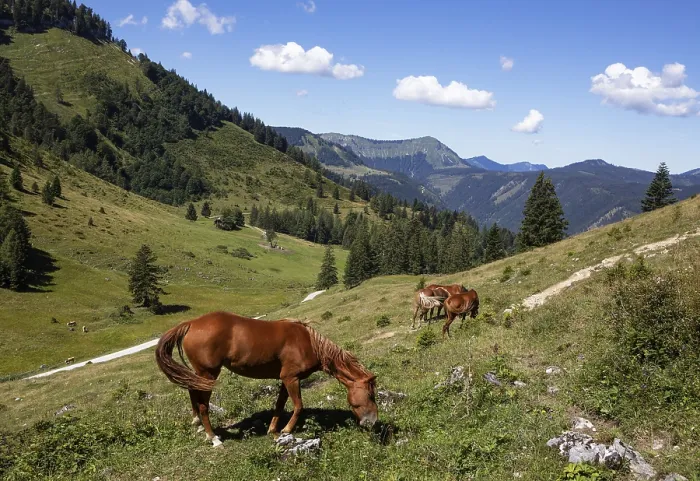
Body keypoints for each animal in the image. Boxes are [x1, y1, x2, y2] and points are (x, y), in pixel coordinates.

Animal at [155, 311, 378, 447]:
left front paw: (273, 430)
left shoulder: (286, 379)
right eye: (370, 395)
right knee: (203, 404)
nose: (372, 422)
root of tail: (191, 323)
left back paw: (198, 424)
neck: (309, 343)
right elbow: (298, 406)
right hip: (208, 373)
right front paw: (287, 430)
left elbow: (279, 405)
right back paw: (213, 438)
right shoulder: (291, 378)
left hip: (200, 374)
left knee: (191, 390)